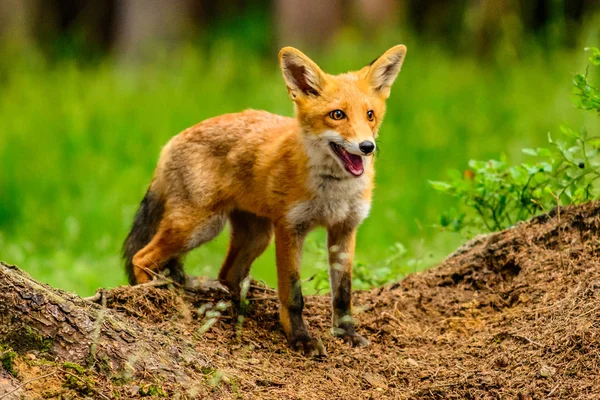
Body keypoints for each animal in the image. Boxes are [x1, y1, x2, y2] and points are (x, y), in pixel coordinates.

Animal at [125, 44, 410, 356]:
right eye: (337, 115)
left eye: (370, 114)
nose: (367, 147)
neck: (334, 191)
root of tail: (171, 142)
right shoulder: (290, 228)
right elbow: (293, 294)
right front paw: (300, 339)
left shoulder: (345, 229)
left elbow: (343, 293)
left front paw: (346, 333)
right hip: (199, 227)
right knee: (142, 257)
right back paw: (151, 295)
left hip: (256, 235)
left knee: (227, 274)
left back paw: (241, 310)